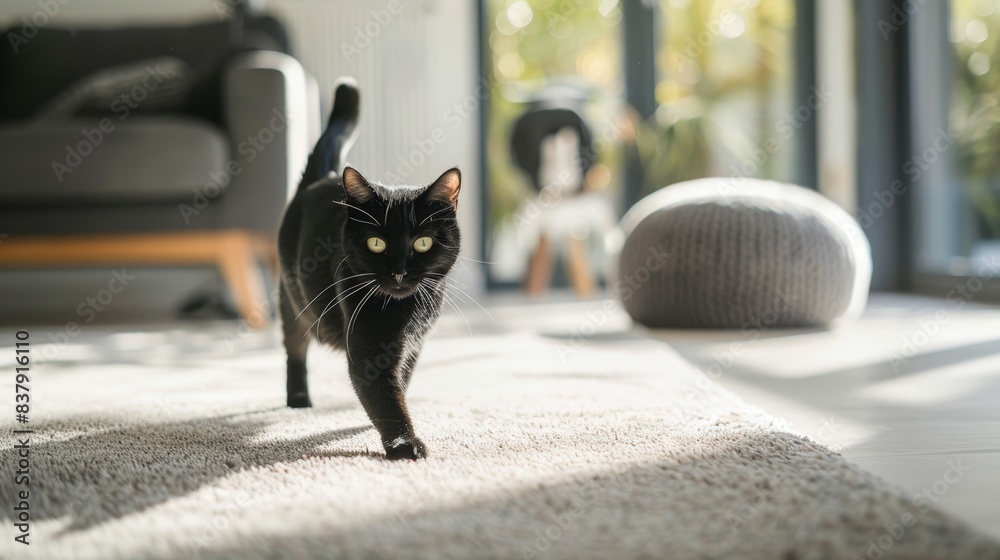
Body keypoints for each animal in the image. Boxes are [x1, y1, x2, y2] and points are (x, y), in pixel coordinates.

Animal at [276, 77, 458, 460]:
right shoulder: (369, 347)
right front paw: (405, 444)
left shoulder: (413, 344)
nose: (400, 271)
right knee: (294, 349)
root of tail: (325, 177)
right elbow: (383, 397)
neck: (409, 309)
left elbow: (400, 382)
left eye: (423, 243)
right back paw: (298, 398)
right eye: (377, 243)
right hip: (293, 300)